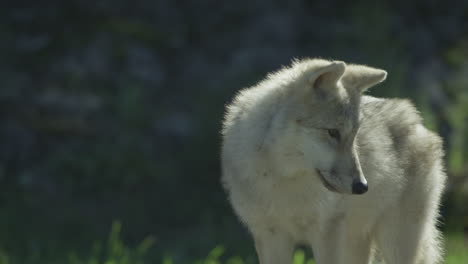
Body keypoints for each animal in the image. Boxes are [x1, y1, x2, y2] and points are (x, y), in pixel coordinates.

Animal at [221, 58, 448, 264]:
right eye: (333, 132)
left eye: (354, 135)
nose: (362, 187)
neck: (283, 179)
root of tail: (416, 120)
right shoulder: (270, 236)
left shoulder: (327, 234)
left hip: (394, 243)